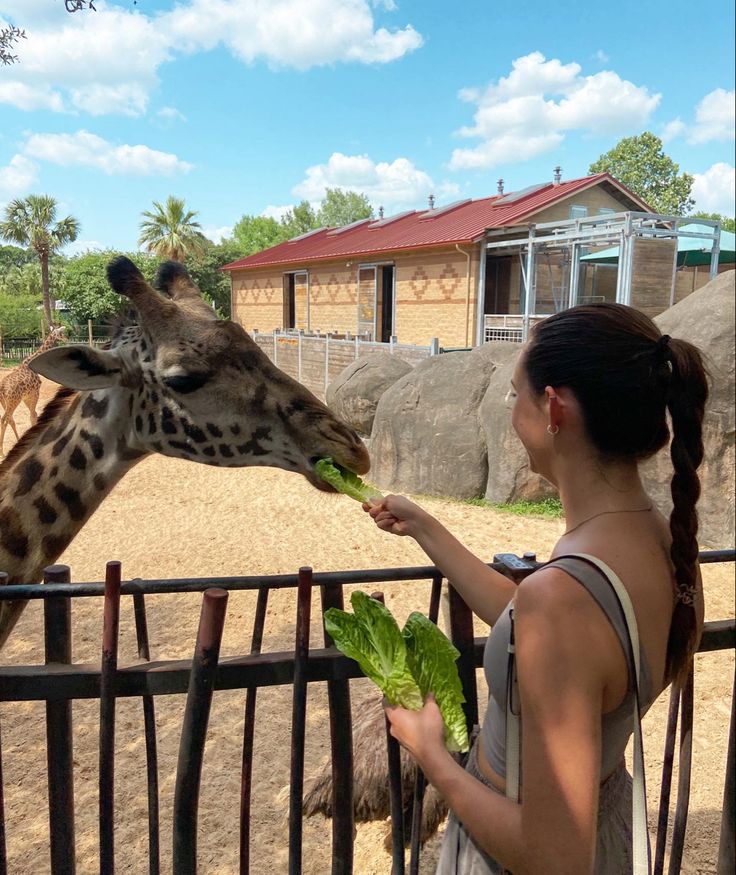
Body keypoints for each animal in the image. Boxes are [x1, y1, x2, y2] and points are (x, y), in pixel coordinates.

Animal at [0, 324, 68, 458]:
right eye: (61, 333)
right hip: (13, 401)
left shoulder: (27, 396)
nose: (66, 339)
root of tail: (2, 388)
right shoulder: (35, 392)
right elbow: (33, 416)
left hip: (5, 402)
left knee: (9, 419)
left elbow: (34, 415)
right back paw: (2, 452)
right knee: (5, 419)